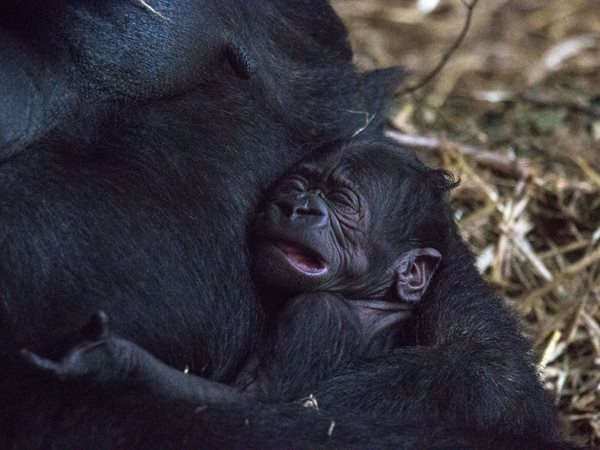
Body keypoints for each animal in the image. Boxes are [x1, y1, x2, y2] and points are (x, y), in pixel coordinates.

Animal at [22, 140, 454, 404]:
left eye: (343, 203)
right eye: (297, 185)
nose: (298, 208)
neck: (373, 302)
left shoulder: (318, 316)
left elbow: (252, 400)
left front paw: (109, 363)